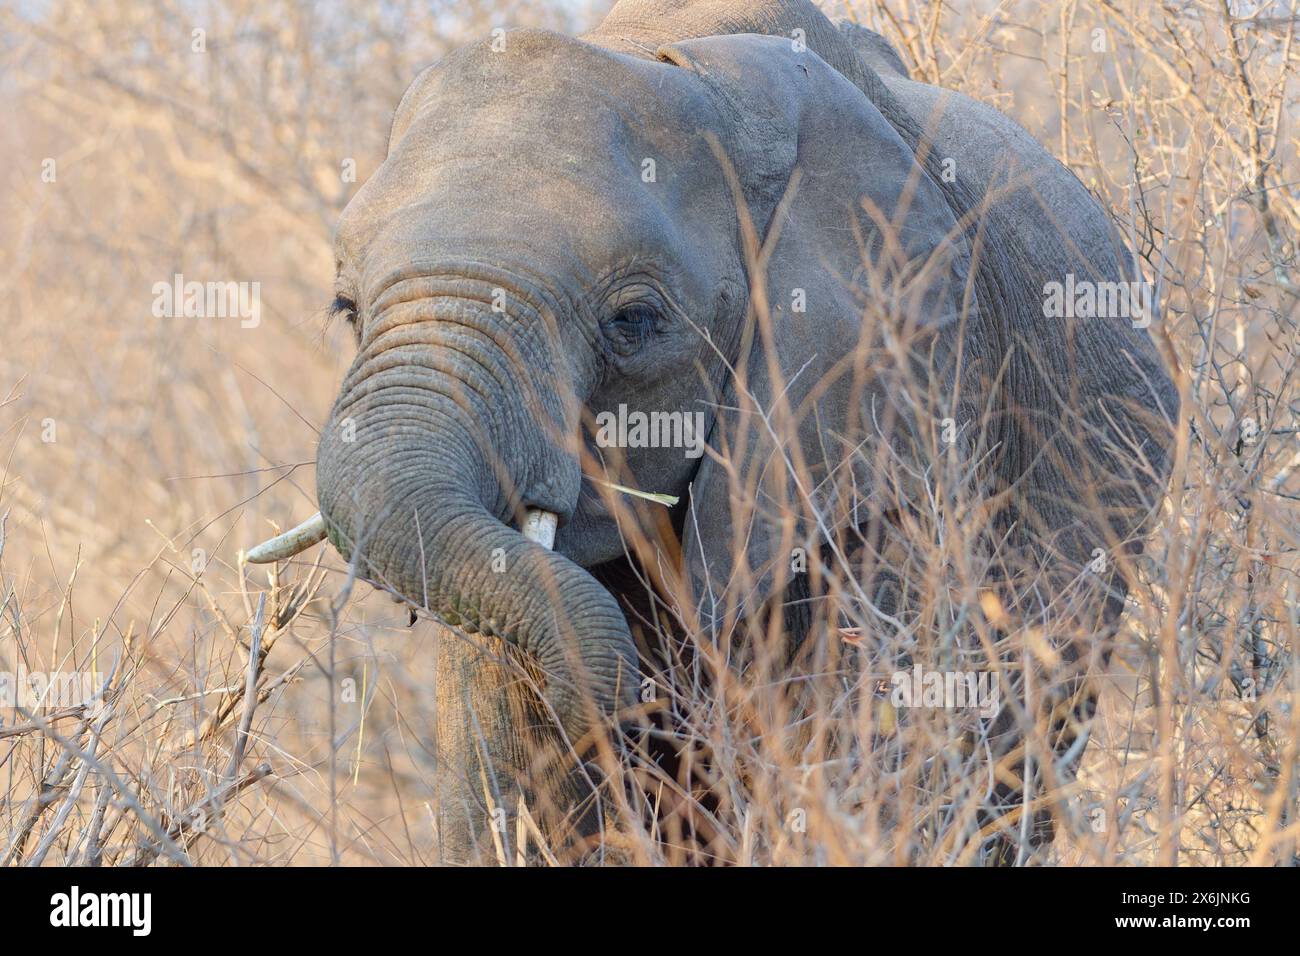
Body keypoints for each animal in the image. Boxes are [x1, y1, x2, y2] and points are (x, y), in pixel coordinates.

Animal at [247, 0, 1179, 863]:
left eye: (634, 320)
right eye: (347, 308)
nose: (626, 706)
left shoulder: (913, 434)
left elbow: (867, 774)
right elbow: (504, 794)